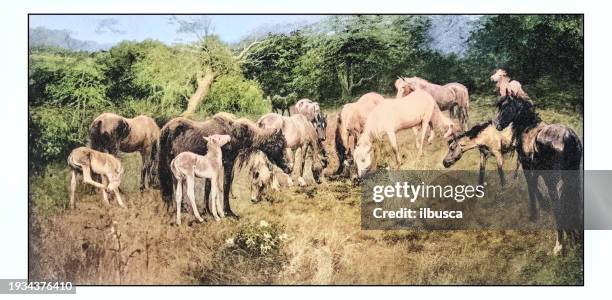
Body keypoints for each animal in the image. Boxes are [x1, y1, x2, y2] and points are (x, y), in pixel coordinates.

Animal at [159, 112, 290, 218]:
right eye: (279, 145)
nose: (289, 167)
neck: (236, 134)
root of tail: (166, 129)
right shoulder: (228, 163)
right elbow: (225, 186)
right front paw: (227, 212)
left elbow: (208, 188)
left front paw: (208, 211)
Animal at [492, 94, 584, 255]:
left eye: (505, 106)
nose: (496, 123)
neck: (527, 129)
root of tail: (568, 137)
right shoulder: (536, 170)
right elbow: (535, 187)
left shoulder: (527, 167)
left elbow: (532, 188)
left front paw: (534, 214)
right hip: (571, 178)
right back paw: (574, 237)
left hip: (552, 181)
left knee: (558, 206)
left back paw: (559, 245)